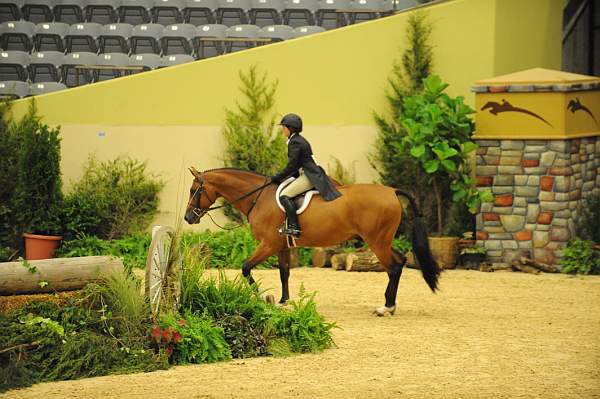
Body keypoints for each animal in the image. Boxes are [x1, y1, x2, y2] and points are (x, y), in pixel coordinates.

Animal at [183, 167, 440, 318]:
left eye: (195, 190)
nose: (188, 218)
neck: (259, 197)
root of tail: (391, 191)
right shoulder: (282, 246)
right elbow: (284, 273)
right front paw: (282, 301)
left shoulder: (268, 245)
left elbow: (246, 268)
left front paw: (263, 298)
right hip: (382, 241)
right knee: (401, 260)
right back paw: (390, 304)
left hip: (377, 241)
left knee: (393, 267)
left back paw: (385, 307)